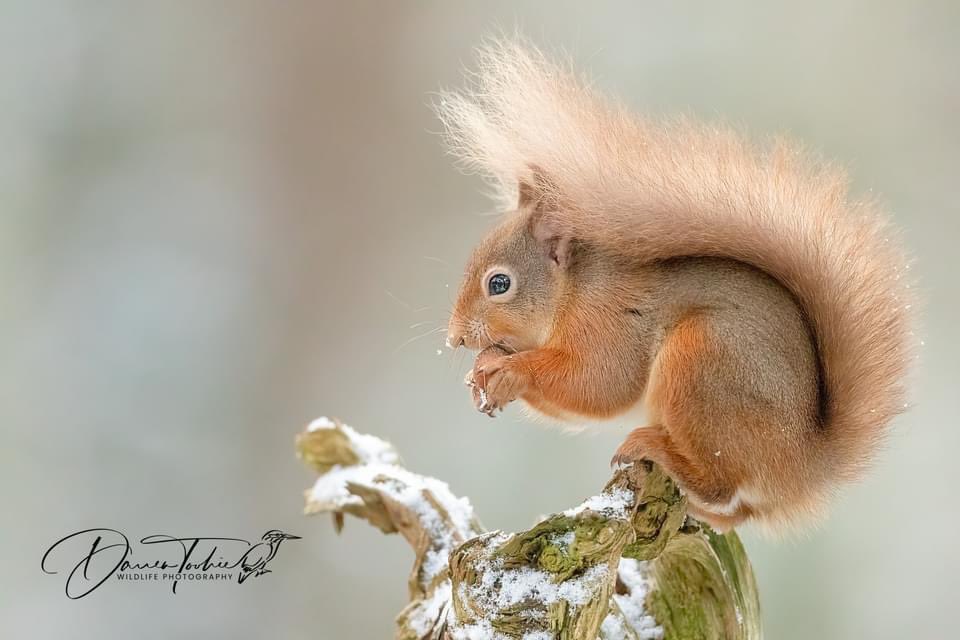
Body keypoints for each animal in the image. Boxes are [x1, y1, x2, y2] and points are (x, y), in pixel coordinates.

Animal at [437, 39, 915, 532]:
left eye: (499, 283)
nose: (455, 338)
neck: (572, 291)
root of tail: (800, 465)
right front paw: (484, 368)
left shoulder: (611, 320)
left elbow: (600, 384)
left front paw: (509, 369)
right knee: (732, 513)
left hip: (703, 364)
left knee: (719, 486)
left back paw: (657, 452)